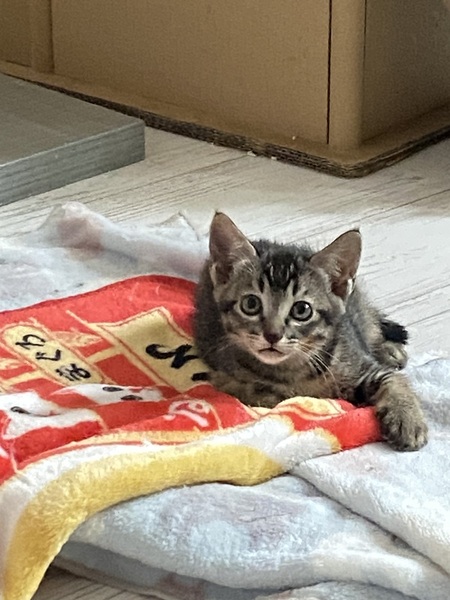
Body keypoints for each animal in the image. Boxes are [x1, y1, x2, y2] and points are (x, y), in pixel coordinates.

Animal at [193, 212, 428, 452]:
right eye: (251, 304)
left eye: (302, 310)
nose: (272, 335)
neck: (292, 370)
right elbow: (266, 396)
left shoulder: (358, 362)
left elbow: (393, 379)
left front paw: (408, 419)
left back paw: (389, 350)